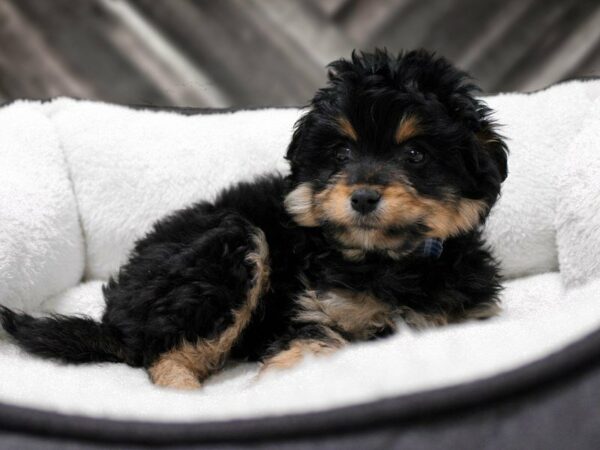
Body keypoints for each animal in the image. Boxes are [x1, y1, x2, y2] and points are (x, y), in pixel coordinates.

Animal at [0, 48, 506, 386]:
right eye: (341, 153)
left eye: (416, 154)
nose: (363, 196)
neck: (388, 261)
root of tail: (115, 320)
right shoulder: (317, 308)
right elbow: (315, 344)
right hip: (228, 250)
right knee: (164, 356)